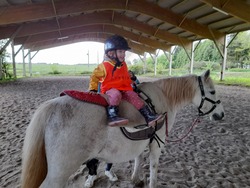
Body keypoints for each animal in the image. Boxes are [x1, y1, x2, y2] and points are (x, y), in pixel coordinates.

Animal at [21, 70, 225, 188]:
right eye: (213, 91)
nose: (221, 114)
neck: (162, 96)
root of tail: (50, 107)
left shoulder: (143, 138)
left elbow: (138, 158)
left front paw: (136, 179)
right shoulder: (157, 142)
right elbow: (153, 166)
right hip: (59, 173)